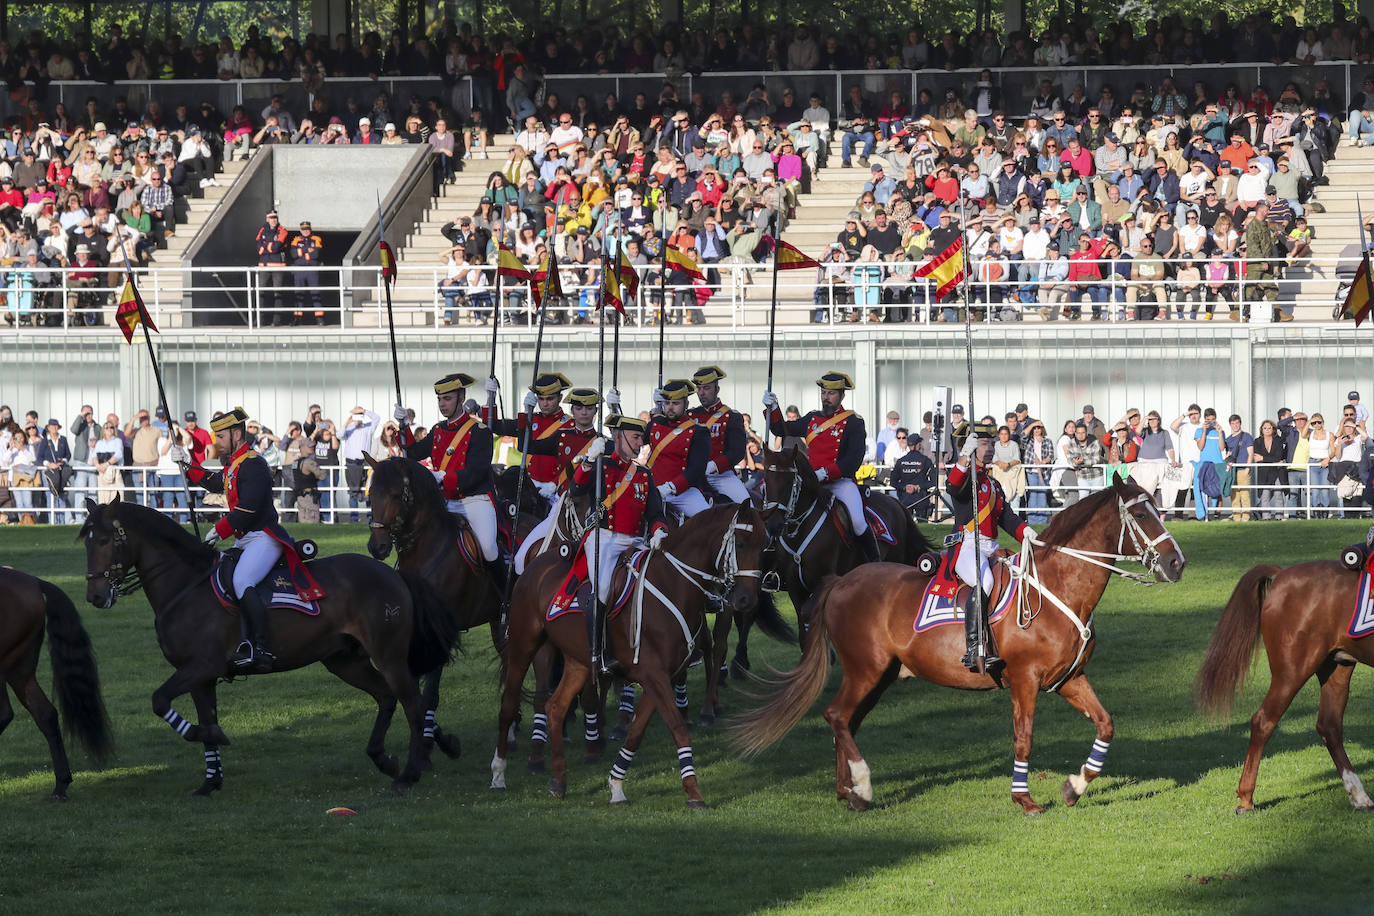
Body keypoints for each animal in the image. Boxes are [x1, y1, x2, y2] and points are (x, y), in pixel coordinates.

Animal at [79, 497, 456, 791]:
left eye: (105, 540)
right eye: (86, 542)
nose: (95, 596)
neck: (186, 586)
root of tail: (393, 574)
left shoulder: (202, 667)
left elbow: (160, 701)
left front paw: (213, 738)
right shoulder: (200, 677)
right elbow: (205, 719)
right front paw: (212, 777)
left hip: (388, 656)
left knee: (414, 705)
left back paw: (409, 774)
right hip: (345, 660)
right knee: (387, 697)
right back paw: (388, 758)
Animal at [494, 505, 774, 813]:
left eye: (764, 546)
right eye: (742, 543)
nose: (747, 600)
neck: (673, 584)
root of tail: (534, 564)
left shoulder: (661, 677)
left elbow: (636, 732)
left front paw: (616, 785)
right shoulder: (653, 675)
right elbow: (678, 727)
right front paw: (693, 792)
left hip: (578, 662)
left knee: (555, 706)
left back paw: (558, 780)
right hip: (525, 646)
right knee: (509, 705)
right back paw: (499, 774)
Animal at [730, 477, 1181, 813]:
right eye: (1142, 514)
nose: (1177, 563)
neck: (1056, 587)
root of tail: (842, 581)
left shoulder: (1070, 678)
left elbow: (1105, 724)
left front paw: (1075, 786)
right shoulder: (1025, 680)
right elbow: (1024, 736)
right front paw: (1024, 799)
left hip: (879, 676)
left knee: (845, 722)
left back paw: (848, 792)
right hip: (865, 670)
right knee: (837, 716)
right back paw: (862, 785)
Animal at [1198, 563, 1374, 813]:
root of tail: (1282, 573)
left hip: (1337, 666)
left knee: (1329, 726)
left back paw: (1359, 796)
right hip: (1292, 671)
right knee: (1263, 721)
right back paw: (1246, 798)